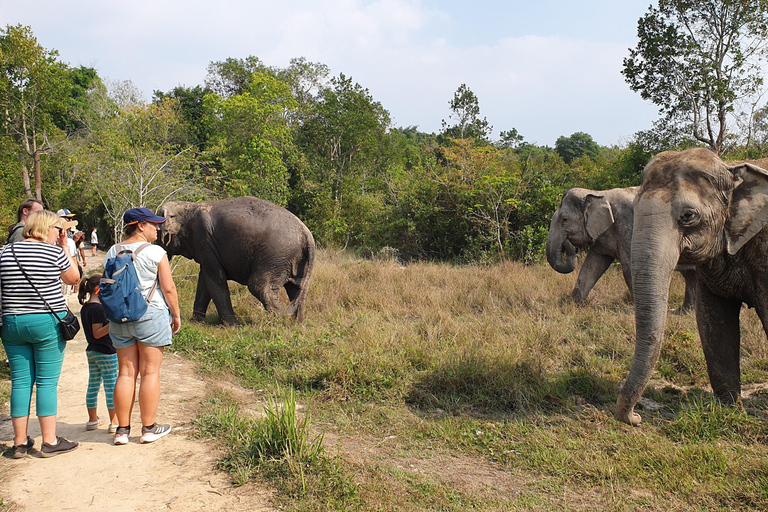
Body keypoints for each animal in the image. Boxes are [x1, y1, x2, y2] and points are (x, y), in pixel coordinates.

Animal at [159, 196, 316, 324]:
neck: (188, 206)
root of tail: (307, 234)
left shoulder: (203, 239)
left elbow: (215, 279)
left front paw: (232, 326)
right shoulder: (207, 246)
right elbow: (205, 279)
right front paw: (196, 322)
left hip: (276, 257)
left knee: (259, 286)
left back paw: (280, 322)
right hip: (295, 261)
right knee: (297, 290)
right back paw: (295, 324)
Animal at [544, 186, 700, 310]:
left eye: (565, 220)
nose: (566, 242)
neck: (599, 194)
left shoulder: (629, 228)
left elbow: (630, 267)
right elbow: (592, 265)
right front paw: (572, 304)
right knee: (691, 276)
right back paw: (684, 312)